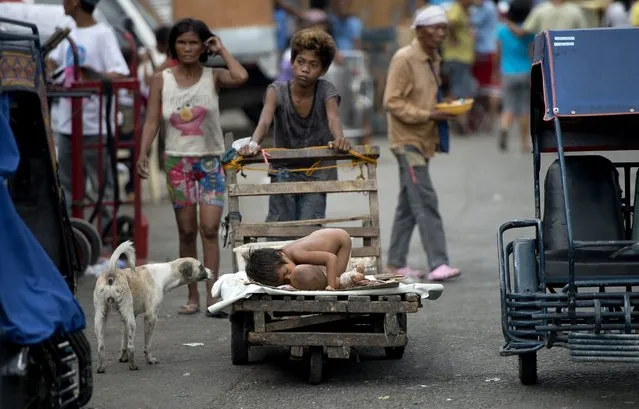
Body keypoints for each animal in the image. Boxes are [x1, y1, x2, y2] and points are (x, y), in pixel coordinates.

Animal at [93, 241, 212, 372]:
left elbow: (124, 340)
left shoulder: (128, 317)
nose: (212, 272)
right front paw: (149, 359)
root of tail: (112, 274)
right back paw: (133, 366)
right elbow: (147, 344)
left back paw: (100, 368)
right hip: (131, 321)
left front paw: (123, 358)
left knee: (101, 347)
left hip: (101, 318)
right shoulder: (150, 316)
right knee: (131, 346)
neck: (166, 274)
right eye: (201, 266)